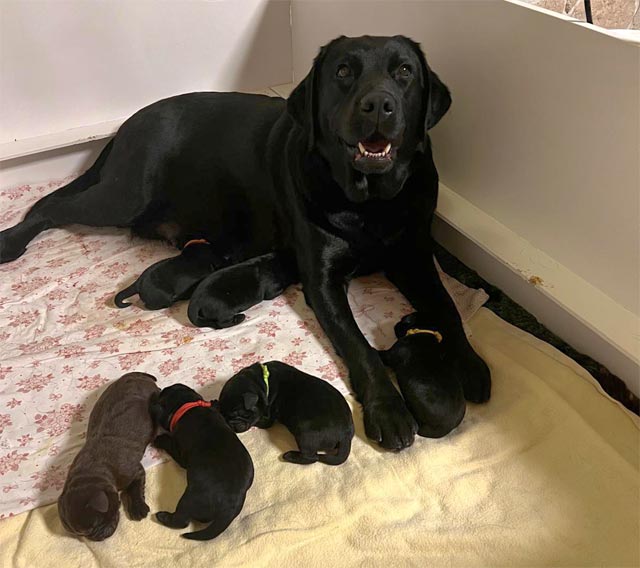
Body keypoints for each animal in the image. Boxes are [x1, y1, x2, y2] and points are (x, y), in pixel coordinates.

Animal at [0, 35, 491, 451]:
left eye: (404, 71)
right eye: (344, 71)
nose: (379, 105)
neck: (370, 202)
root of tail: (128, 123)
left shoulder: (414, 258)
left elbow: (447, 307)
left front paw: (470, 365)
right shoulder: (323, 281)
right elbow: (360, 346)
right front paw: (388, 410)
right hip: (123, 195)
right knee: (48, 206)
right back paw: (11, 241)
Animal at [58, 372, 159, 541]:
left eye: (96, 525)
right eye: (82, 535)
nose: (97, 538)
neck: (93, 471)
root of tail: (134, 376)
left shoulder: (134, 471)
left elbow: (135, 488)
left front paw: (138, 509)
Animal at [149, 384, 254, 540]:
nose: (159, 390)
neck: (189, 406)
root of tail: (229, 507)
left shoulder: (180, 452)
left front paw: (160, 437)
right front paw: (215, 403)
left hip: (189, 499)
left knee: (182, 521)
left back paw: (163, 516)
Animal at [219, 361, 354, 465]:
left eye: (241, 414)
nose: (231, 426)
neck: (262, 383)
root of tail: (346, 436)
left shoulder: (267, 418)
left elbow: (259, 421)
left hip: (305, 433)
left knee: (312, 457)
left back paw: (290, 456)